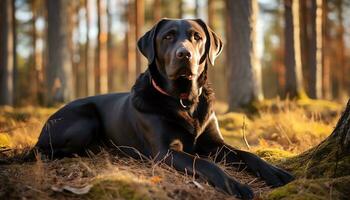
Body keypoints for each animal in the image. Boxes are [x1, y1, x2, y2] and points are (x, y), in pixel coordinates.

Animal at [34, 18, 292, 198]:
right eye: (168, 37)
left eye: (197, 37)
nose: (184, 54)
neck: (184, 100)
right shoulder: (165, 151)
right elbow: (205, 163)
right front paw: (235, 184)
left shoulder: (215, 143)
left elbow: (247, 154)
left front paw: (275, 172)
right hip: (85, 119)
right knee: (45, 151)